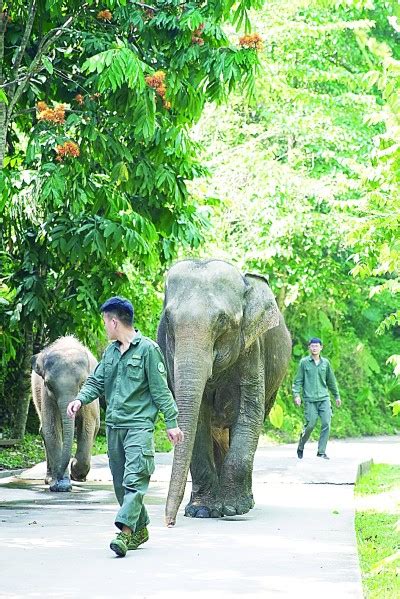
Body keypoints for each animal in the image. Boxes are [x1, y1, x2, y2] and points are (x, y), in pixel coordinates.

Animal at [31, 338, 100, 492]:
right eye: (49, 385)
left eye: (83, 383)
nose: (57, 483)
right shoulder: (46, 395)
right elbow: (51, 428)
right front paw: (61, 486)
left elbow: (87, 426)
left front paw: (76, 473)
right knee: (44, 431)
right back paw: (49, 478)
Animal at [156, 258, 290, 524]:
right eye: (168, 321)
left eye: (222, 320)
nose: (170, 522)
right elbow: (197, 421)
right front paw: (202, 511)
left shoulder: (253, 349)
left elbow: (250, 413)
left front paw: (233, 508)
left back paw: (245, 502)